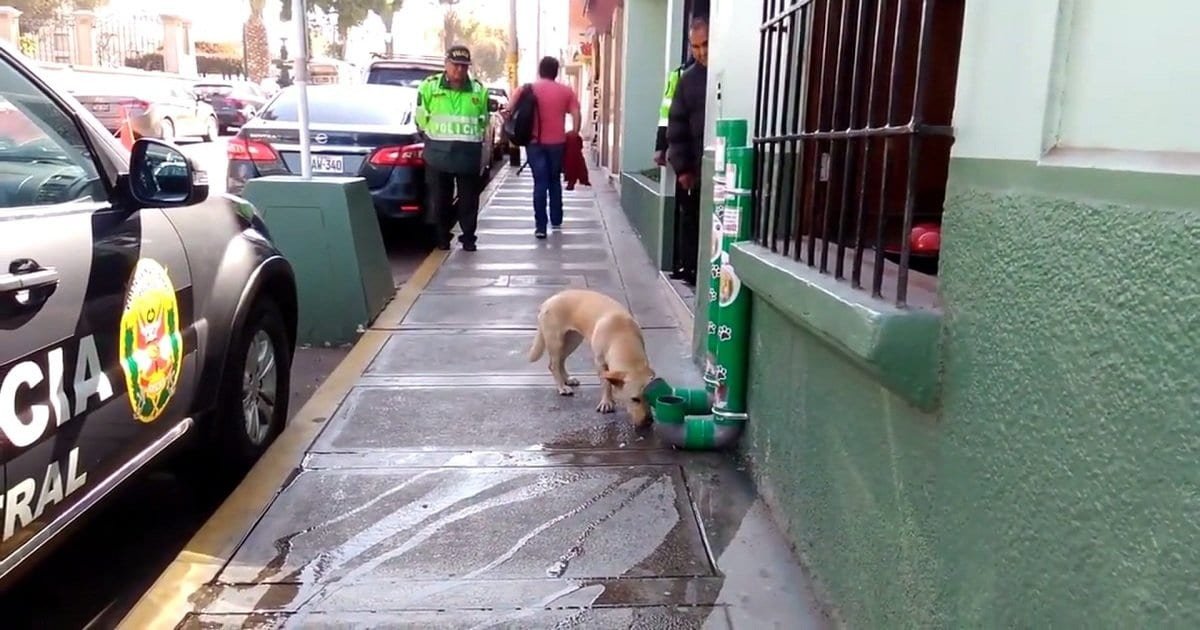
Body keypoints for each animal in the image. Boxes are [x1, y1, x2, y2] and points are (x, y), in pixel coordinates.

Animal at [528, 286, 657, 424]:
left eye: (650, 398)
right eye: (634, 399)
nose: (649, 421)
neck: (623, 337)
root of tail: (548, 301)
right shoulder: (599, 363)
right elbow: (606, 384)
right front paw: (607, 402)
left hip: (573, 340)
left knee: (561, 361)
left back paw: (567, 379)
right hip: (556, 341)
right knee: (553, 365)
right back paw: (562, 387)